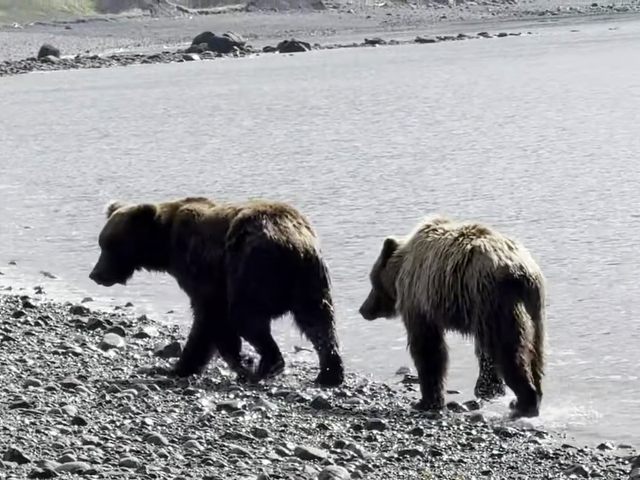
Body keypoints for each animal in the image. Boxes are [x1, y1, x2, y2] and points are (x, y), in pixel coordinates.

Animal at [88, 196, 345, 388]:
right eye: (102, 243)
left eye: (110, 245)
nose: (95, 274)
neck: (166, 246)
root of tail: (293, 243)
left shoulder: (203, 270)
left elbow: (209, 319)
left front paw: (181, 366)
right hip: (309, 281)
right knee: (319, 323)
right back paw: (329, 374)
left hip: (252, 268)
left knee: (245, 316)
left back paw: (266, 367)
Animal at [358, 214, 546, 419]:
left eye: (372, 281)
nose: (363, 309)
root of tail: (521, 272)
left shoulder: (419, 299)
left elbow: (427, 348)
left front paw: (426, 401)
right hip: (533, 308)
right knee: (535, 352)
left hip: (495, 300)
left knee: (507, 350)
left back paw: (524, 402)